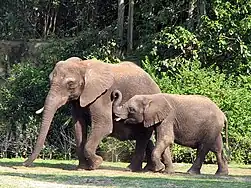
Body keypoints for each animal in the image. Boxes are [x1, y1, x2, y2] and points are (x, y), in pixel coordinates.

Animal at [23, 56, 161, 171]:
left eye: (70, 84)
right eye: (50, 81)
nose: (24, 164)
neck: (83, 66)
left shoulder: (103, 96)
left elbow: (104, 126)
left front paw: (97, 163)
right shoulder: (79, 100)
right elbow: (78, 127)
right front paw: (82, 168)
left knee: (142, 136)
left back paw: (133, 169)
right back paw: (149, 169)